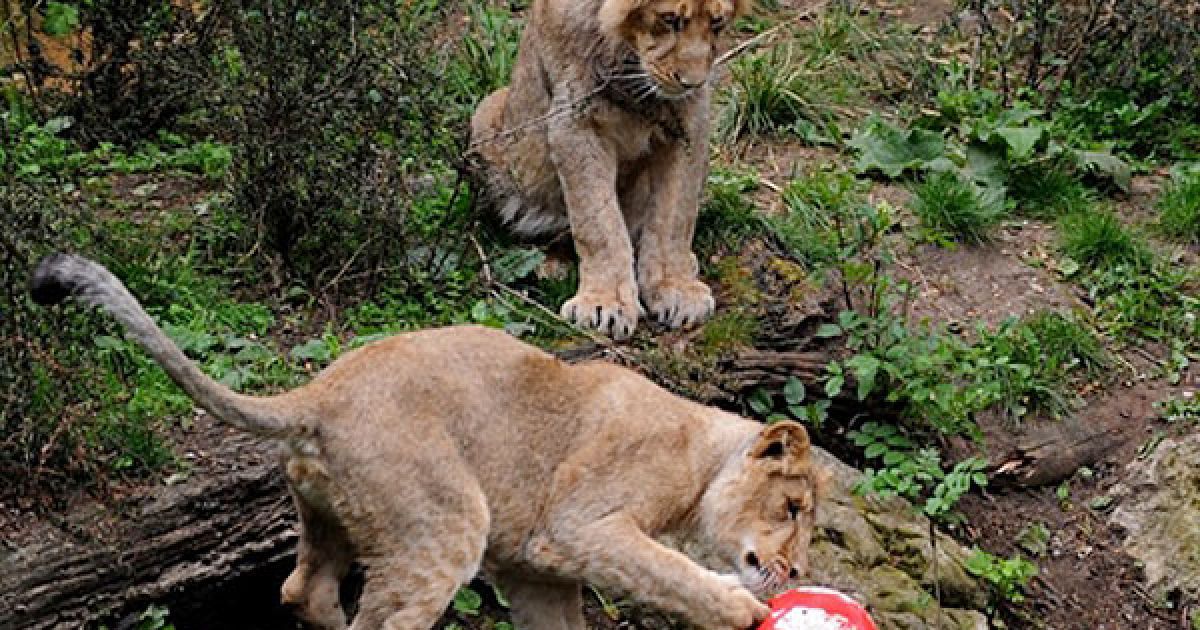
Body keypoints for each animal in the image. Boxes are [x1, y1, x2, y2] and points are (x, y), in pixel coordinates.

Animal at [31, 253, 824, 630]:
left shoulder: (536, 572)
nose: (793, 572)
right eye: (790, 510)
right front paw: (739, 607)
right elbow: (667, 571)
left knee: (302, 590)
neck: (702, 452)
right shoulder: (578, 527)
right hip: (445, 523)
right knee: (380, 622)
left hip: (336, 517)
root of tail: (318, 395)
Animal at [469, 0, 749, 340]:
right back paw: (550, 266)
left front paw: (676, 288)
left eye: (717, 23)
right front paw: (605, 303)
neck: (630, 55)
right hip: (486, 117)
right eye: (669, 19)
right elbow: (598, 224)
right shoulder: (576, 121)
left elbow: (675, 217)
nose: (693, 83)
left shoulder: (690, 118)